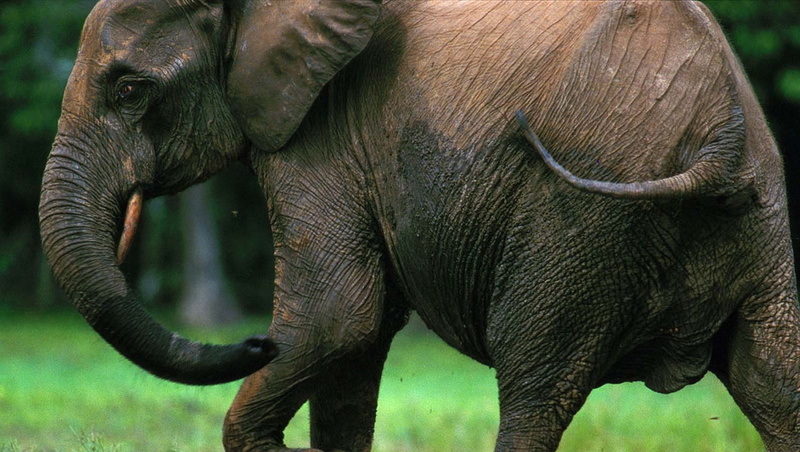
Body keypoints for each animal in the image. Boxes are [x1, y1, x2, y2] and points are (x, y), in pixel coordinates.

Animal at [38, 0, 800, 451]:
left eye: (130, 89)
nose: (254, 341)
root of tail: (722, 129)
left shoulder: (320, 130)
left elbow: (337, 316)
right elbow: (358, 339)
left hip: (584, 222)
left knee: (533, 389)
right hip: (756, 217)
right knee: (776, 381)